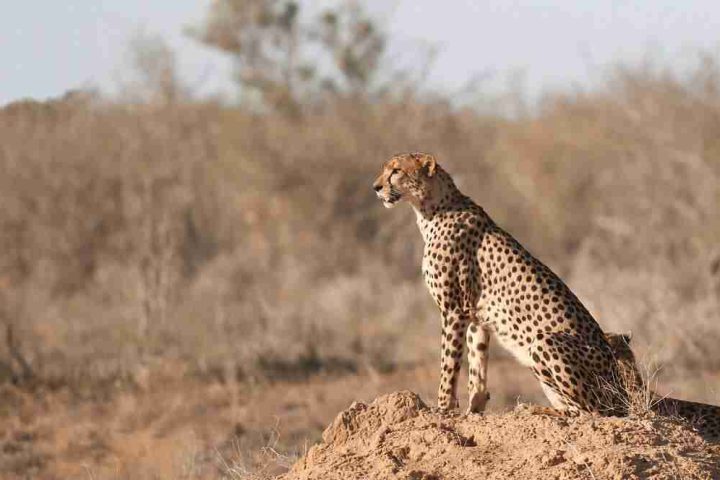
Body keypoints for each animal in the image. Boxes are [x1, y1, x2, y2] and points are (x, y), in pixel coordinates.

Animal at [372, 152, 628, 416]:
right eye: (386, 169)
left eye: (396, 171)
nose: (376, 187)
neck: (432, 208)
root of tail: (621, 391)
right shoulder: (476, 318)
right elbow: (476, 368)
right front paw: (473, 410)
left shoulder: (453, 310)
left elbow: (449, 364)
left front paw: (442, 408)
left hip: (544, 343)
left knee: (589, 412)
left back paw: (533, 409)